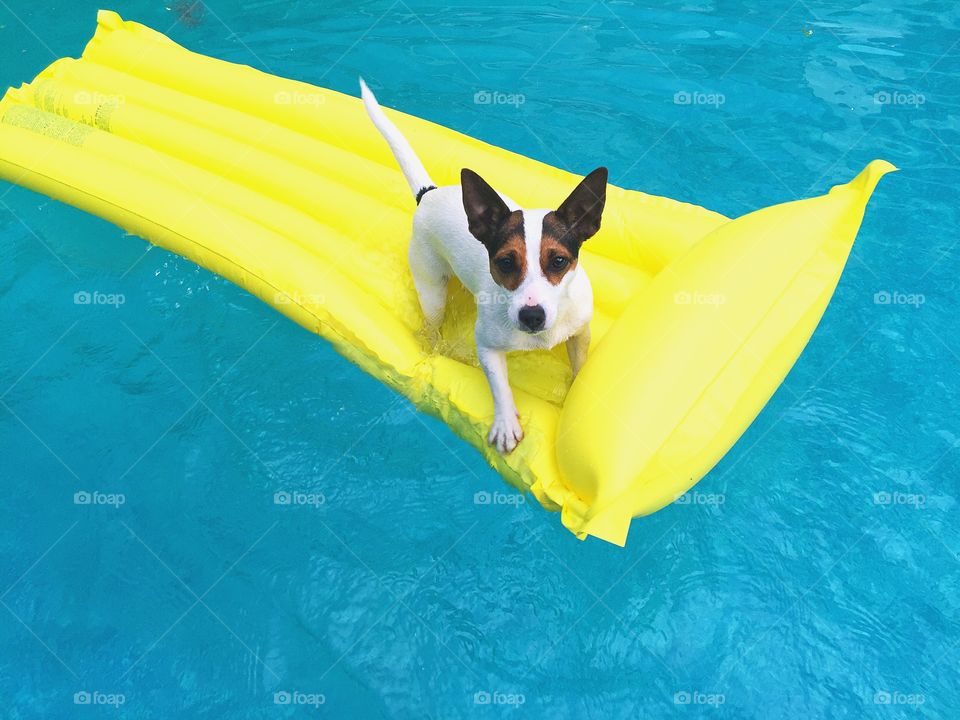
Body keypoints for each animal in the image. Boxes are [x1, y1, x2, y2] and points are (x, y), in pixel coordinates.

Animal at [360, 77, 608, 450]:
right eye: (506, 262)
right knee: (432, 322)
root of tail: (429, 193)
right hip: (430, 287)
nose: (532, 316)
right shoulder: (487, 346)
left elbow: (579, 368)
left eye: (558, 261)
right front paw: (505, 423)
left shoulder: (579, 332)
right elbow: (498, 383)